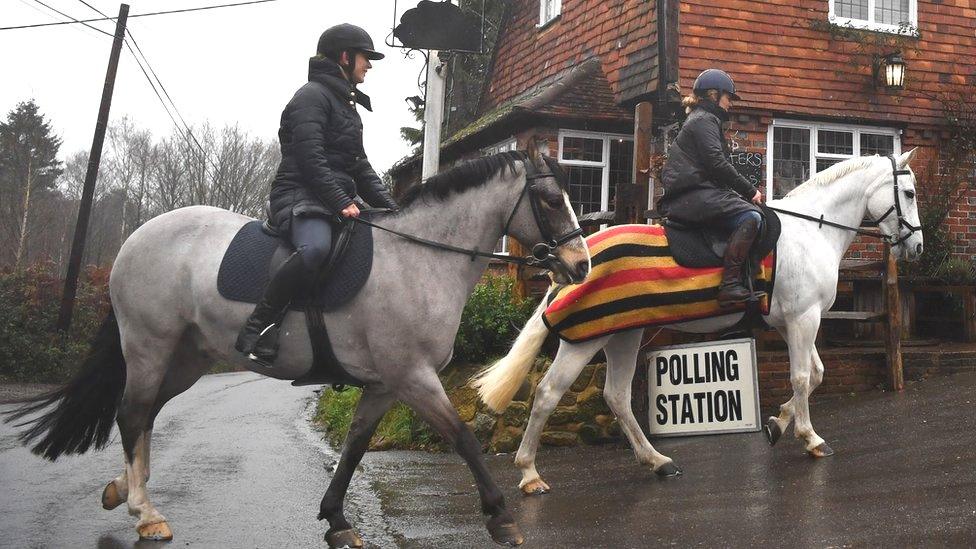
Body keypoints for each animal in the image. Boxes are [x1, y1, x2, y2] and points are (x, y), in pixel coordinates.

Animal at [5, 148, 588, 544]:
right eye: (549, 199)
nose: (580, 266)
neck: (419, 259)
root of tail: (135, 239)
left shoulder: (384, 384)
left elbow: (353, 448)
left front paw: (336, 520)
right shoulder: (412, 376)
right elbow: (463, 438)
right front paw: (501, 517)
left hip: (186, 359)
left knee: (143, 414)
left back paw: (123, 491)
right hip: (150, 346)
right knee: (131, 413)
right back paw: (146, 513)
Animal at [472, 149, 924, 492]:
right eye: (909, 192)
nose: (917, 247)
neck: (811, 231)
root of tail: (575, 262)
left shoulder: (793, 321)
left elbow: (815, 374)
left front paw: (778, 423)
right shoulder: (803, 318)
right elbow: (801, 377)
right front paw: (810, 438)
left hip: (624, 334)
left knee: (616, 396)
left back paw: (657, 461)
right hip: (585, 340)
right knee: (548, 394)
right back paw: (529, 473)